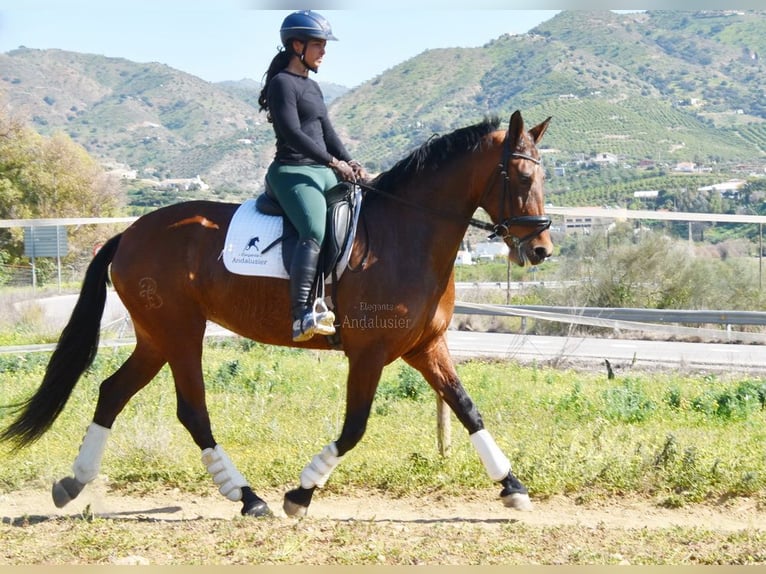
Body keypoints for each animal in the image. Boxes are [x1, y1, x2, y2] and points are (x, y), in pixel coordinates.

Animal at [0, 110, 552, 520]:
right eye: (524, 176)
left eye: (544, 175)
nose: (541, 249)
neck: (406, 234)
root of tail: (129, 234)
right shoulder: (369, 353)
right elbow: (355, 427)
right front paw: (300, 494)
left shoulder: (425, 346)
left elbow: (467, 408)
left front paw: (512, 485)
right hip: (180, 333)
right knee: (191, 410)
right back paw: (248, 497)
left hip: (156, 336)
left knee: (112, 392)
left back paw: (73, 482)